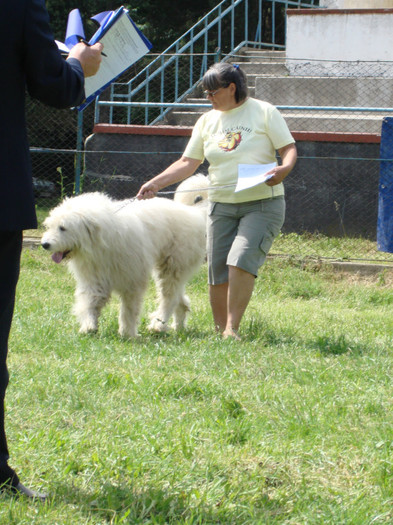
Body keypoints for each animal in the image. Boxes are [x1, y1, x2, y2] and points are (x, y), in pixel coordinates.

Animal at [40, 191, 205, 336]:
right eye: (50, 226)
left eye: (63, 228)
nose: (44, 244)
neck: (101, 242)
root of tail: (194, 213)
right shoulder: (95, 278)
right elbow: (90, 302)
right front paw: (89, 326)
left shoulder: (132, 280)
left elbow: (129, 310)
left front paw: (127, 333)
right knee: (179, 298)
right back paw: (177, 327)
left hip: (173, 266)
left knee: (169, 298)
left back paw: (158, 325)